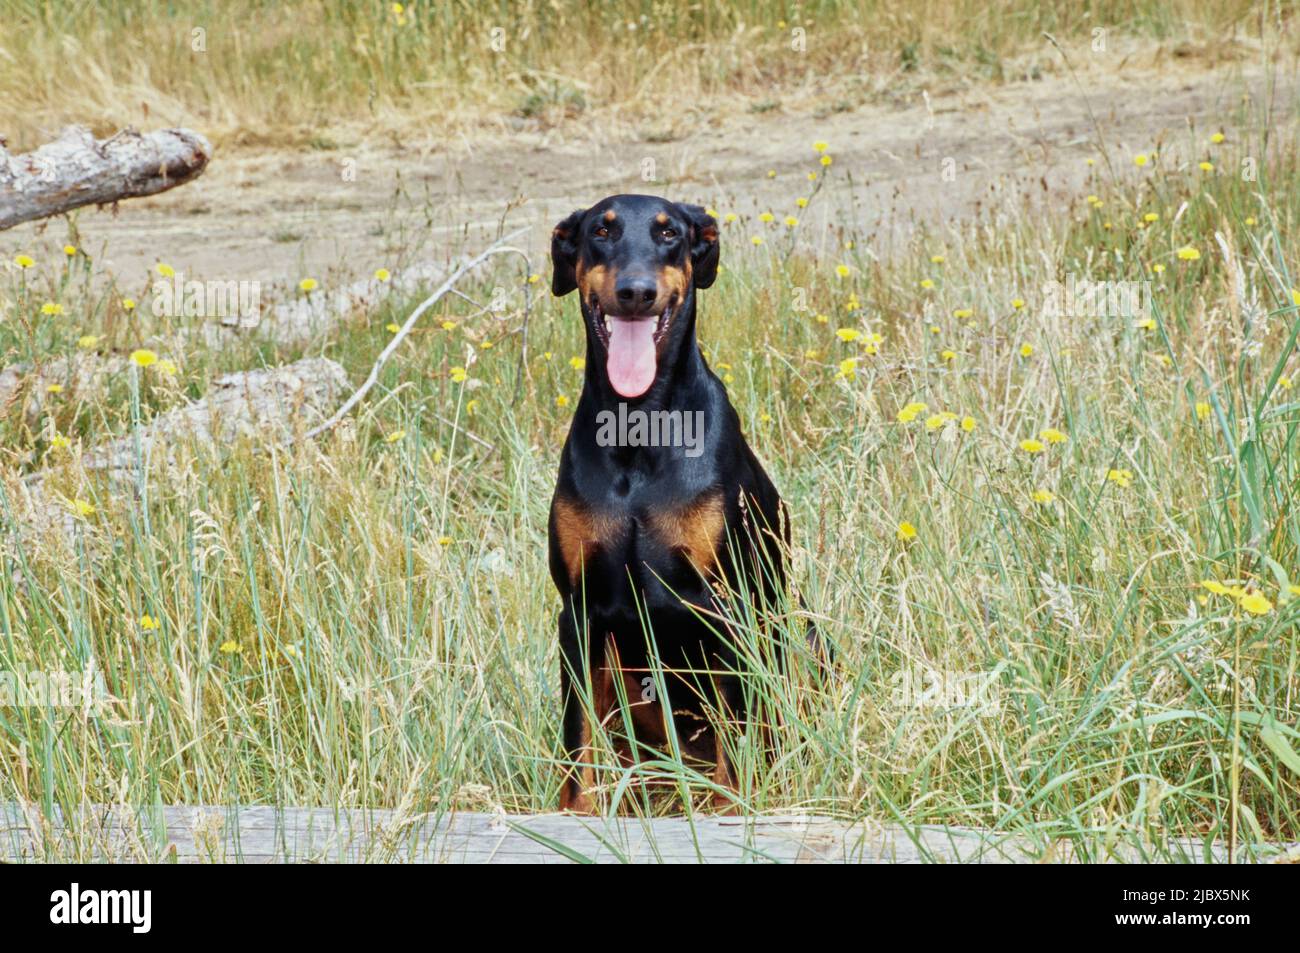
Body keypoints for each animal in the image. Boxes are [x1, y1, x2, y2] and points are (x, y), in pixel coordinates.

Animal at [546, 193, 790, 811]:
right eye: (601, 231)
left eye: (669, 234)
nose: (635, 291)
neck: (639, 424)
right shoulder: (578, 613)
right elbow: (577, 740)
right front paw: (576, 815)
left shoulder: (727, 607)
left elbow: (737, 735)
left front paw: (732, 812)